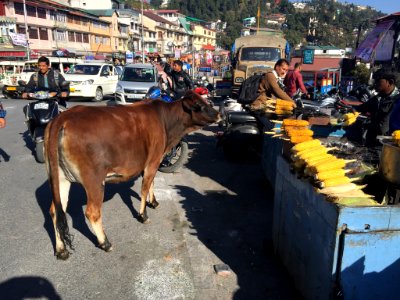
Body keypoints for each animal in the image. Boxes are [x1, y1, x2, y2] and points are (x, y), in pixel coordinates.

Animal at [44, 90, 219, 258]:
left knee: (56, 211)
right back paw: (105, 243)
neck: (165, 121)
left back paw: (61, 250)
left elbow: (151, 183)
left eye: (206, 101)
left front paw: (153, 202)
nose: (218, 114)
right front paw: (143, 215)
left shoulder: (150, 163)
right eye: (199, 105)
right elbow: (145, 187)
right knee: (92, 212)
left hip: (61, 178)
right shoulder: (153, 161)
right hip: (94, 181)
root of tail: (63, 117)